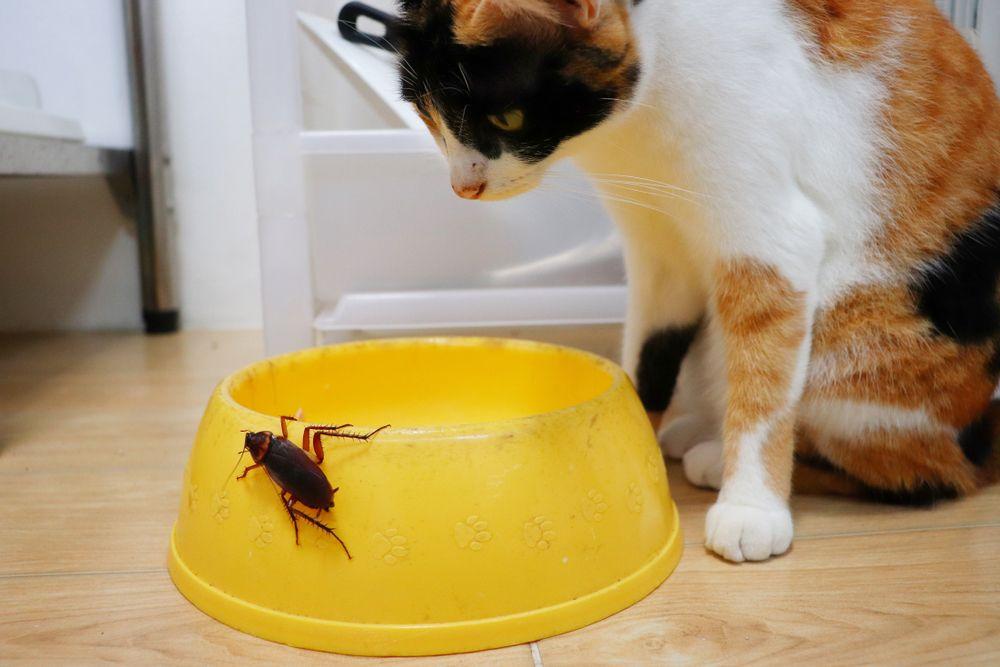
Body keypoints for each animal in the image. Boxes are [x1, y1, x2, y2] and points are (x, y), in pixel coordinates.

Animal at [392, 0, 1000, 564]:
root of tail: (982, 431)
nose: (463, 187)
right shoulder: (658, 249)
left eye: (508, 120)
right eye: (428, 113)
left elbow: (765, 379)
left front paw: (751, 506)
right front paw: (627, 436)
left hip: (857, 344)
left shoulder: (770, 236)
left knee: (923, 475)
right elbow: (650, 354)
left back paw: (721, 458)